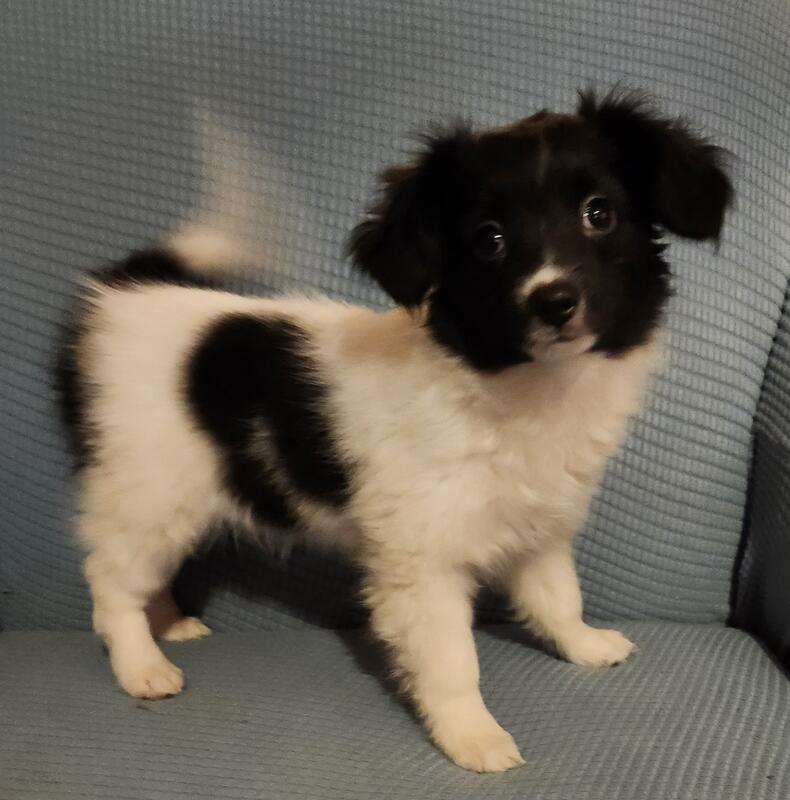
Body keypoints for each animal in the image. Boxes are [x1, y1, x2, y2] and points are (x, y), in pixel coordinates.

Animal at [56, 91, 731, 772]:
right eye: (489, 240)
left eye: (600, 214)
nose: (554, 300)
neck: (521, 384)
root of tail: (125, 295)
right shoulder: (423, 562)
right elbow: (452, 661)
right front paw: (473, 735)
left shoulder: (539, 530)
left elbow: (557, 597)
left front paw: (585, 645)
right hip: (148, 491)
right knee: (112, 581)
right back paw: (142, 664)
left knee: (144, 574)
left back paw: (169, 623)